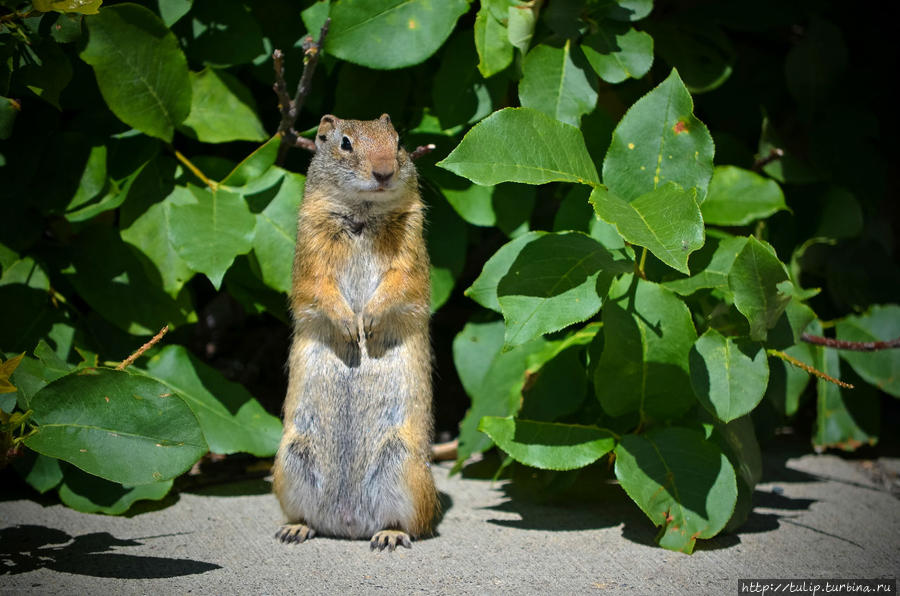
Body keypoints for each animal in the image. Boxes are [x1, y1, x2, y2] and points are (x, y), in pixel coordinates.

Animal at [272, 114, 438, 552]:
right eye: (344, 143)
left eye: (398, 143)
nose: (384, 171)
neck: (363, 215)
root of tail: (348, 524)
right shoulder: (310, 254)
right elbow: (318, 289)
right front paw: (350, 324)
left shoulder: (412, 253)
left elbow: (402, 285)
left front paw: (371, 320)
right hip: (290, 462)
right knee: (307, 516)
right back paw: (296, 528)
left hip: (404, 468)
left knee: (412, 523)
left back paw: (389, 534)